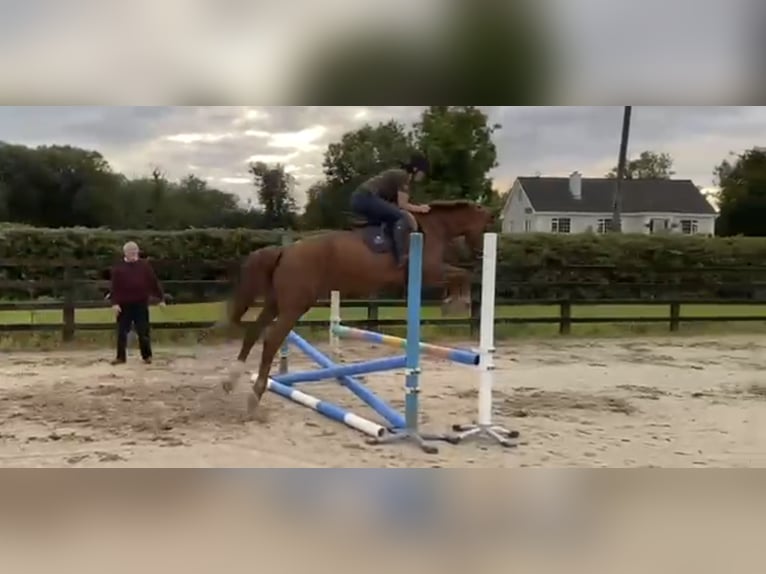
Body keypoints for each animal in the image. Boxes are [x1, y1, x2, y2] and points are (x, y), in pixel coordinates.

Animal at [219, 200, 496, 416]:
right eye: (487, 225)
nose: (480, 253)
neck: (433, 228)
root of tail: (285, 251)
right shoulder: (430, 273)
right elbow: (462, 275)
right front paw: (457, 304)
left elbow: (461, 275)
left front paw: (454, 302)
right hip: (294, 306)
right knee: (272, 339)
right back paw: (254, 396)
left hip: (277, 302)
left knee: (254, 331)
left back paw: (231, 380)